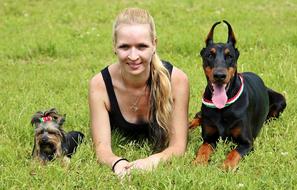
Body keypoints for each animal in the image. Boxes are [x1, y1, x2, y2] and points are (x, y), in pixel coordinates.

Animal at [190, 20, 284, 171]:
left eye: (230, 56)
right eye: (210, 55)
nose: (219, 76)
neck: (222, 108)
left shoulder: (247, 143)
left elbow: (234, 152)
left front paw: (226, 166)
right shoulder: (209, 139)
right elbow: (203, 148)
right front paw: (198, 162)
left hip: (281, 100)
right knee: (197, 117)